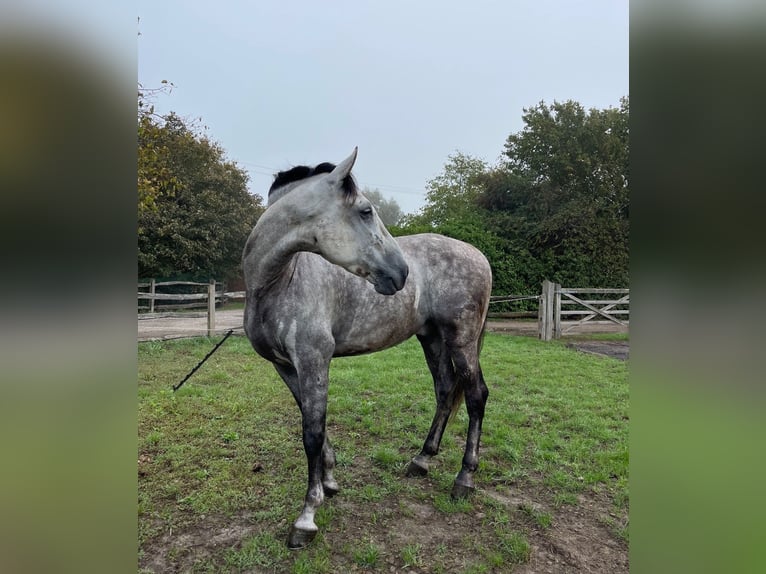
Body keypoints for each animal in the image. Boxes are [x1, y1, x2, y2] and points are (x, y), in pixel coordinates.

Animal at [242, 148, 492, 548]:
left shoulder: (314, 360)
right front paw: (329, 482)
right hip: (432, 339)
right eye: (365, 211)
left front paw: (307, 517)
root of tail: (477, 254)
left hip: (461, 340)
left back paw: (464, 479)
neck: (279, 281)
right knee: (444, 390)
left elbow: (312, 434)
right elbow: (313, 423)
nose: (401, 272)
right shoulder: (286, 366)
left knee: (475, 395)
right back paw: (421, 460)